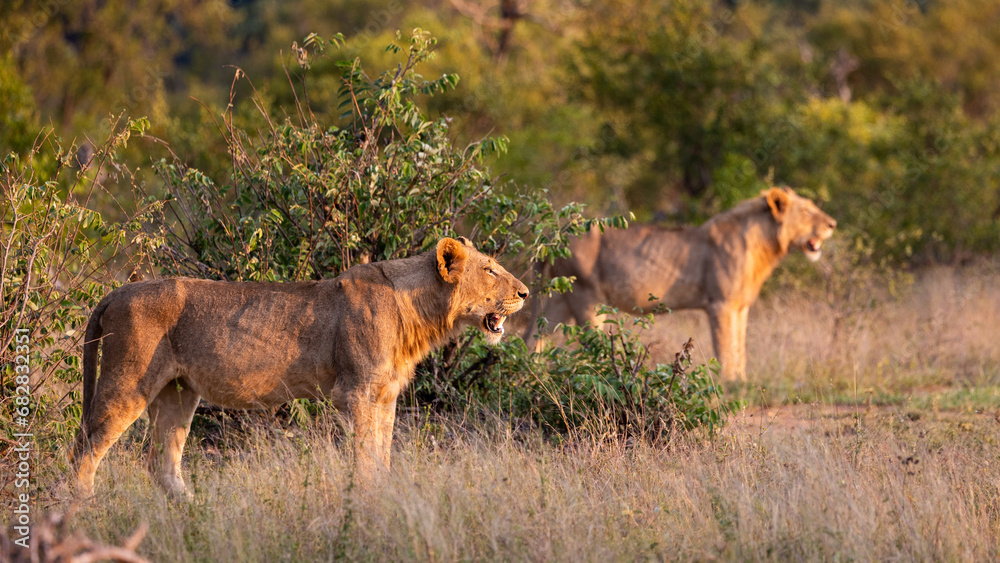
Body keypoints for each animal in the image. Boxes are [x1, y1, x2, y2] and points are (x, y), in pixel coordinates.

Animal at [71, 237, 528, 497]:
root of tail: (116, 291)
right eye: (490, 270)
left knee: (161, 463)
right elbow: (365, 457)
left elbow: (382, 455)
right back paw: (85, 509)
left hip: (179, 392)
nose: (525, 292)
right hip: (127, 382)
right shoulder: (356, 393)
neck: (418, 310)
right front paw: (367, 505)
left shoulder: (385, 396)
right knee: (85, 450)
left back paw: (193, 512)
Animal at [526, 187, 836, 381]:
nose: (832, 224)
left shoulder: (740, 307)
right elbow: (725, 348)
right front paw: (730, 386)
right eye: (807, 211)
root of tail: (554, 235)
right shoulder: (720, 304)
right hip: (586, 297)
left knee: (532, 338)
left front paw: (742, 381)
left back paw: (526, 376)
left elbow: (740, 348)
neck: (764, 246)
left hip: (557, 299)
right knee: (591, 343)